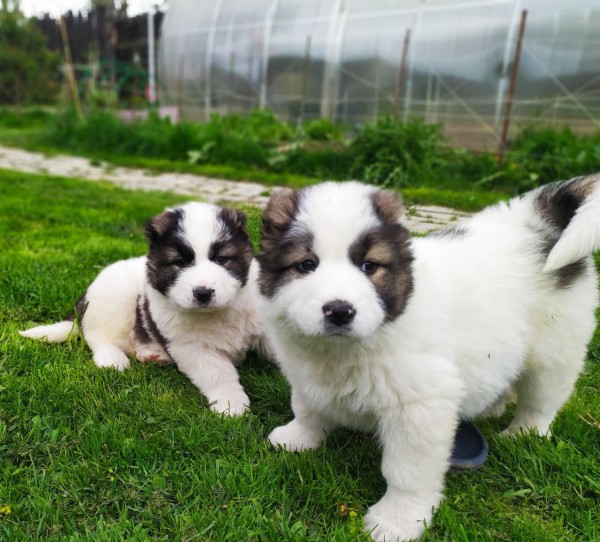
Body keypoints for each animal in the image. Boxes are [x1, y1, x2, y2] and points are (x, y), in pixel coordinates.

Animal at [20, 202, 265, 416]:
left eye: (222, 259)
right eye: (180, 262)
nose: (203, 292)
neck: (217, 313)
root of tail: (86, 295)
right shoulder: (192, 347)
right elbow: (218, 374)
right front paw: (232, 404)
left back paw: (152, 354)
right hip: (116, 300)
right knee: (96, 336)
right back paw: (112, 358)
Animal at [256, 175, 600, 541]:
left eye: (369, 266)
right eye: (306, 264)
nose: (339, 310)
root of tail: (541, 220)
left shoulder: (419, 408)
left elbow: (406, 471)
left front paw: (397, 520)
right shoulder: (305, 372)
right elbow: (307, 407)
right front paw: (298, 438)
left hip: (554, 351)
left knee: (541, 400)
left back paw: (523, 433)